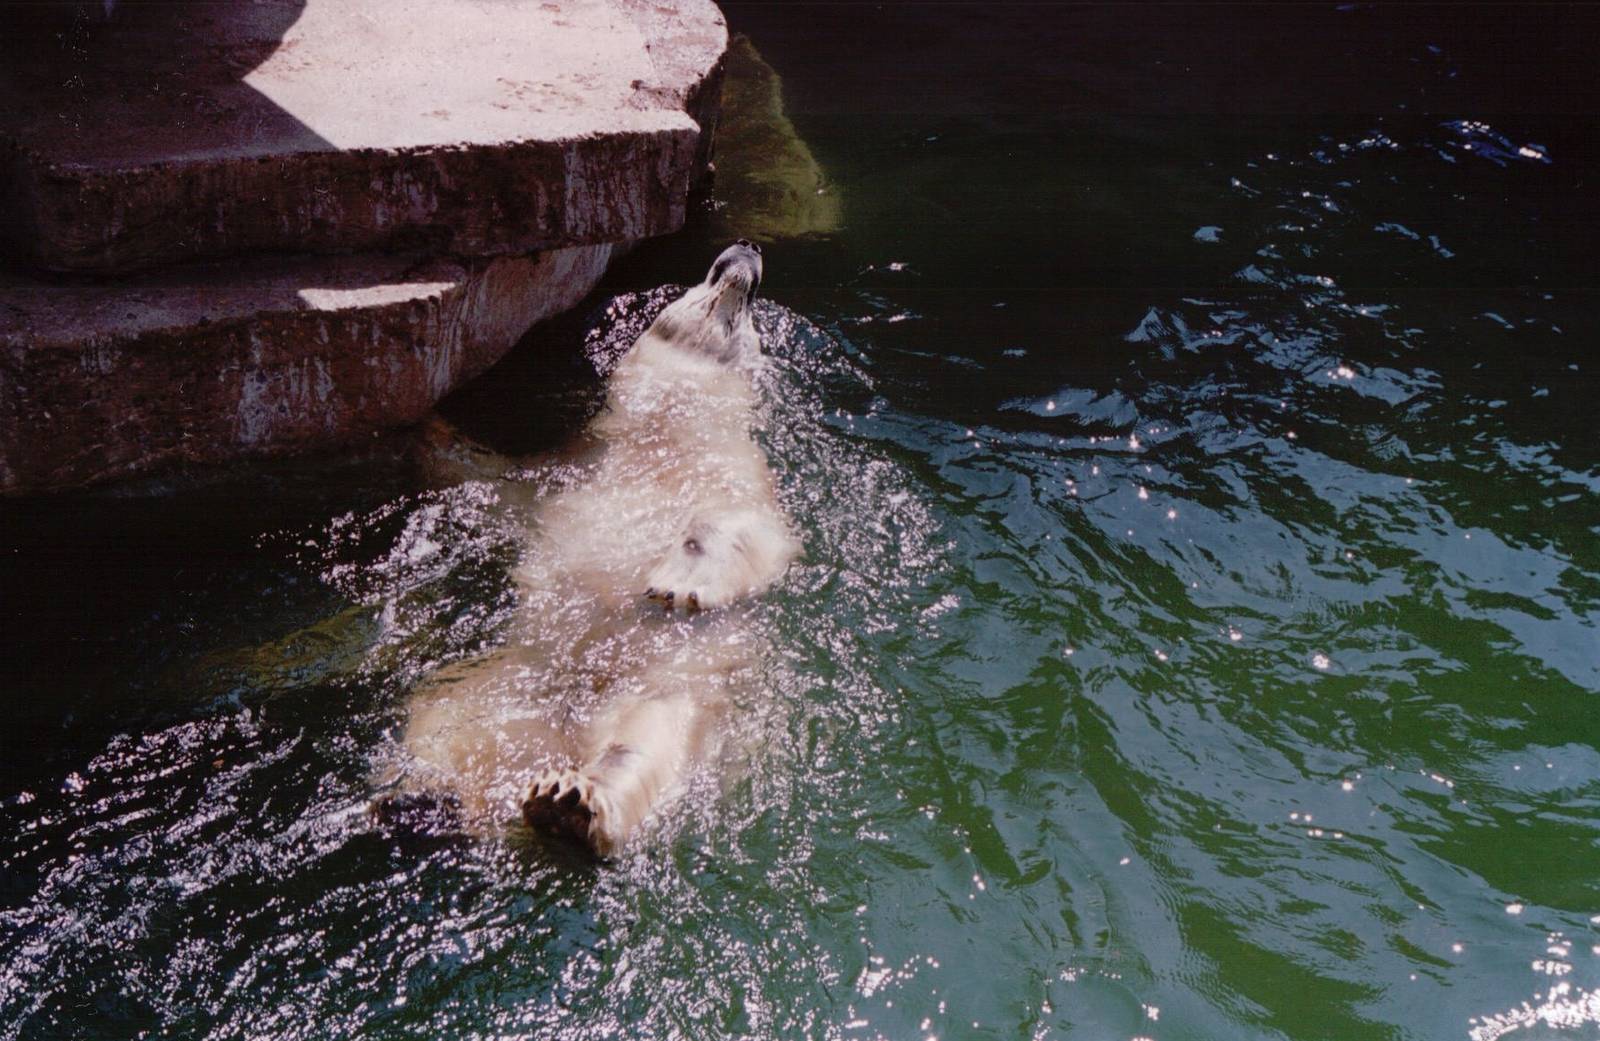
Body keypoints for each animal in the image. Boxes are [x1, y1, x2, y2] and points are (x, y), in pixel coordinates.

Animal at [397, 241, 799, 857]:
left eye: (751, 310)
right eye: (711, 280)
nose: (747, 248)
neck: (664, 434)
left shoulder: (741, 473)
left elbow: (746, 530)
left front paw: (680, 581)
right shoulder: (569, 474)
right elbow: (495, 482)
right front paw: (426, 424)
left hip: (671, 688)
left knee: (643, 743)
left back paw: (570, 803)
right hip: (486, 686)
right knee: (436, 722)